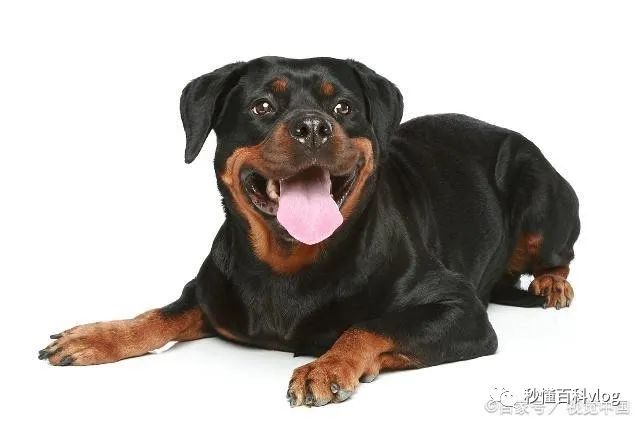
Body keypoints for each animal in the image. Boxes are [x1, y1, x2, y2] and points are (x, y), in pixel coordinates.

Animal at [38, 57, 580, 407]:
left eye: (342, 107)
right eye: (262, 106)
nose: (313, 127)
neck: (288, 263)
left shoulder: (459, 309)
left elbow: (372, 325)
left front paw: (328, 366)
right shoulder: (210, 292)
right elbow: (159, 315)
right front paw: (96, 336)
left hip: (536, 186)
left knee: (560, 253)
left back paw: (551, 283)